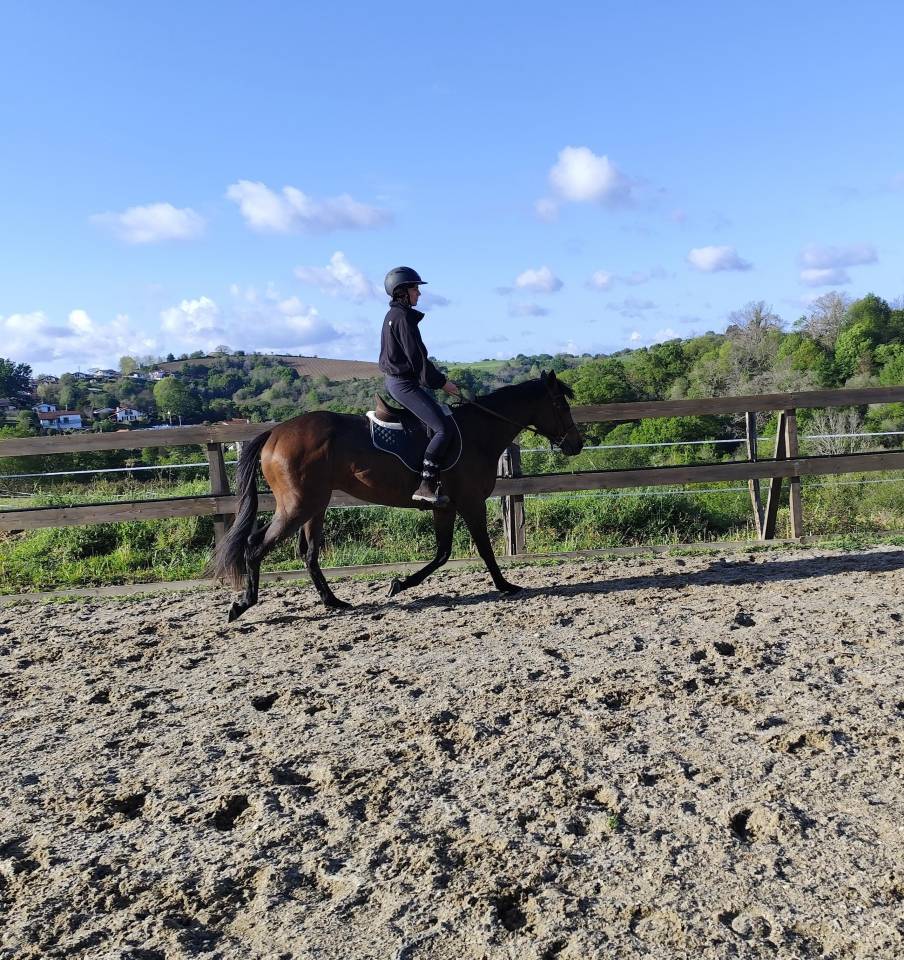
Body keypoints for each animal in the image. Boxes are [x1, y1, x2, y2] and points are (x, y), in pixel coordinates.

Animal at [213, 371, 583, 621]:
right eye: (560, 404)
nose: (576, 445)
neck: (479, 433)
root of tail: (275, 432)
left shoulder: (444, 507)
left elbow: (443, 553)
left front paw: (400, 584)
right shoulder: (471, 502)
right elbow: (483, 549)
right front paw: (505, 585)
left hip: (314, 506)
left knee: (308, 553)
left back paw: (334, 602)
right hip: (298, 505)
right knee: (256, 546)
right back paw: (243, 603)